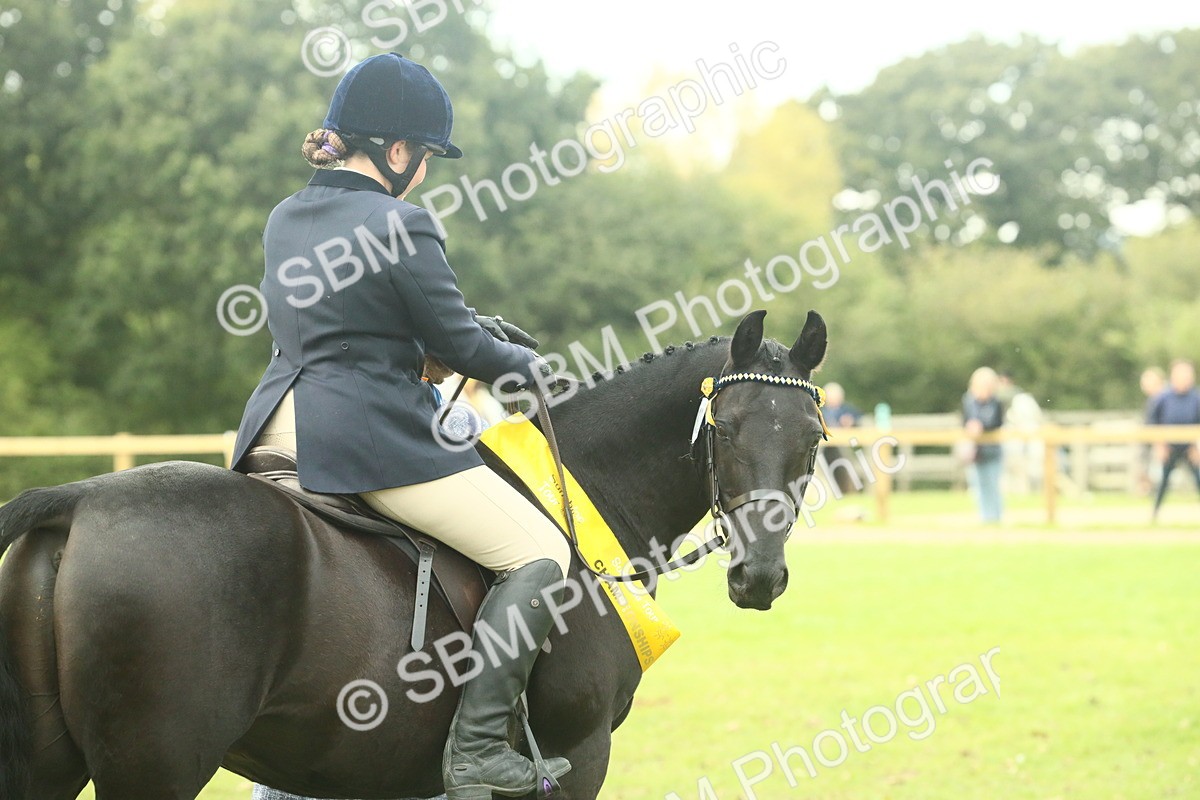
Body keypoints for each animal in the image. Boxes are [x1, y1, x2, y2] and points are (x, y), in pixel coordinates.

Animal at [0, 309, 829, 800]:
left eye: (814, 437)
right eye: (725, 429)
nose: (760, 577)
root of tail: (77, 501)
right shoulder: (579, 753)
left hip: (52, 765)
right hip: (157, 766)